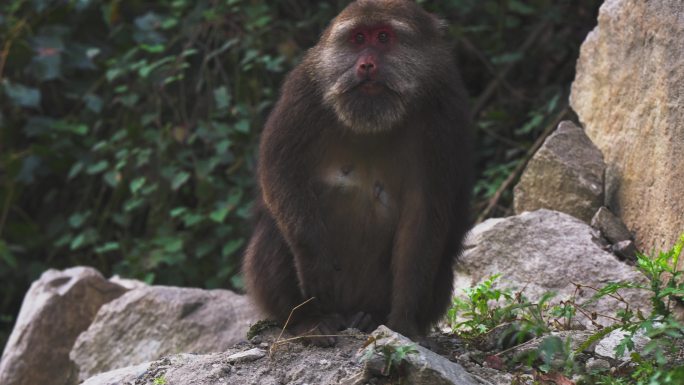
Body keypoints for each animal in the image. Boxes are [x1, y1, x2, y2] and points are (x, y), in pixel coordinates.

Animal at [243, 0, 472, 344]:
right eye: (358, 38)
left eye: (383, 37)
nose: (366, 65)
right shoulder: (304, 89)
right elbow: (281, 171)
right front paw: (316, 266)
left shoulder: (447, 113)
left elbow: (425, 214)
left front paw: (402, 322)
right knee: (276, 230)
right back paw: (306, 320)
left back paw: (369, 317)